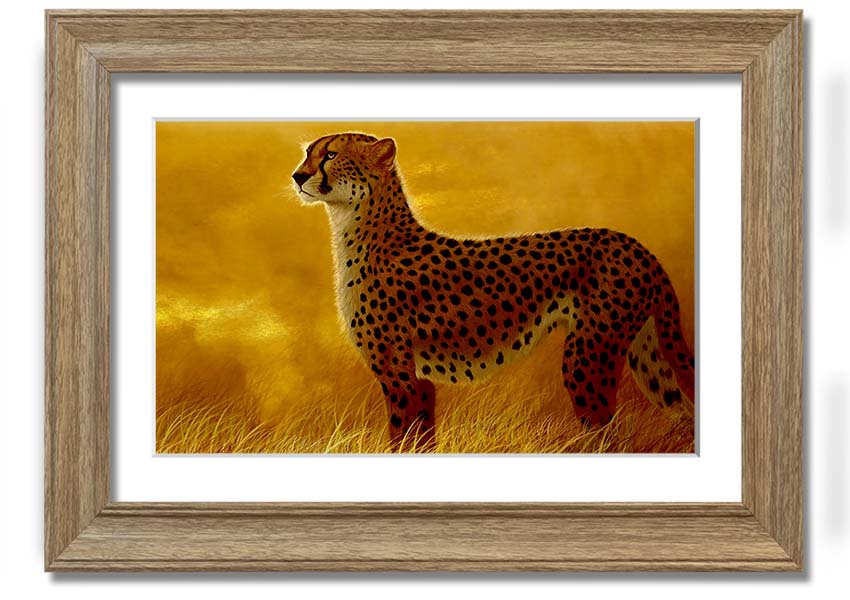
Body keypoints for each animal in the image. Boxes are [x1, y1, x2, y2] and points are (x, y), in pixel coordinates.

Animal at [292, 132, 695, 449]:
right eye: (308, 152)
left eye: (330, 155)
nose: (297, 176)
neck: (359, 225)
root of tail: (635, 244)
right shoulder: (418, 379)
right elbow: (420, 441)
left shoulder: (399, 375)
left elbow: (402, 439)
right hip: (645, 353)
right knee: (682, 411)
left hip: (588, 356)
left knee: (606, 433)